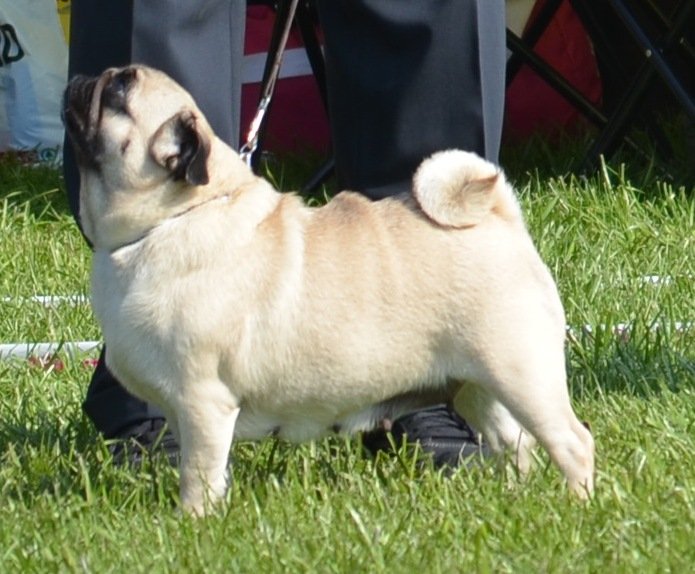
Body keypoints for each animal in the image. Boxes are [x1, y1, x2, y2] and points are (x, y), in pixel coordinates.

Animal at [63, 65, 595, 515]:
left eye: (119, 90)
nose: (84, 78)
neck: (175, 217)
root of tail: (498, 216)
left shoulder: (203, 403)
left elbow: (199, 475)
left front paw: (193, 523)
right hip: (477, 386)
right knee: (516, 445)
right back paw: (515, 500)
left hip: (520, 373)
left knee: (571, 442)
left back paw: (576, 506)